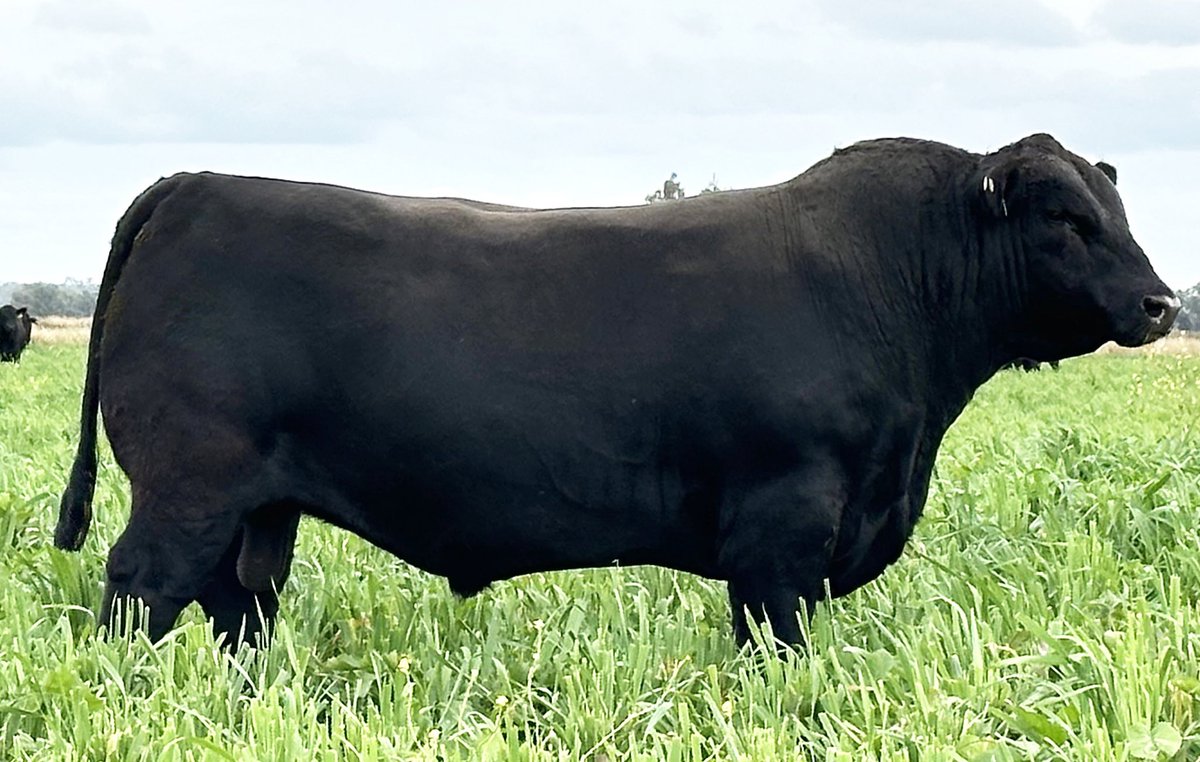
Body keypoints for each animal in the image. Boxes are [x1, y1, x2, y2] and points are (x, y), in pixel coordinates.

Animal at [55, 133, 1179, 650]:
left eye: (1115, 207)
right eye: (1065, 218)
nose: (1164, 302)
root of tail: (197, 183)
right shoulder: (783, 521)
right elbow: (777, 638)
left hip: (259, 504)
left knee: (237, 599)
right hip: (188, 484)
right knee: (143, 586)